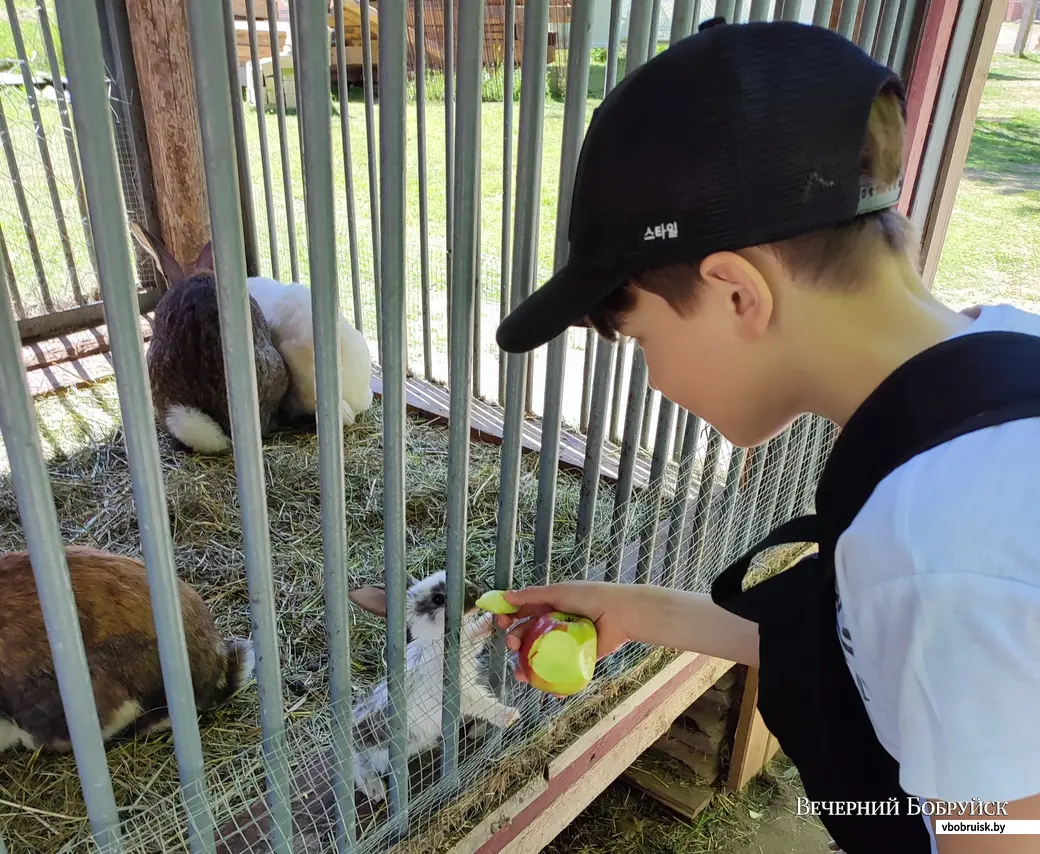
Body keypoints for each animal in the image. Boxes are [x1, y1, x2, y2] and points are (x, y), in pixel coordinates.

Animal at [347, 570, 524, 803]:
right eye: (438, 599)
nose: (477, 591)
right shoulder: (459, 694)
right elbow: (483, 705)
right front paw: (510, 715)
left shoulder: (470, 647)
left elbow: (476, 632)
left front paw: (494, 616)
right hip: (373, 748)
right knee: (359, 766)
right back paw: (375, 790)